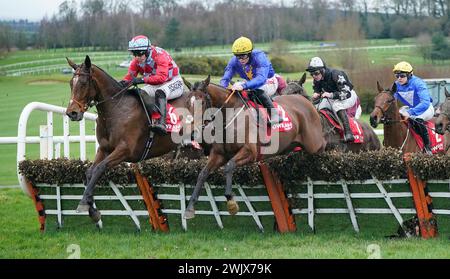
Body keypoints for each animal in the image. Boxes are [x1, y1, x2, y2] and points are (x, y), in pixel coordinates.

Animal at [65, 55, 192, 222]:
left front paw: (84, 203)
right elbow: (89, 172)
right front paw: (92, 209)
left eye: (84, 83)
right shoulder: (104, 149)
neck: (116, 109)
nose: (71, 113)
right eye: (70, 83)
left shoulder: (125, 150)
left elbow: (99, 168)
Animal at [183, 75, 326, 220]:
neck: (229, 116)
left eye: (202, 102)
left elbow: (229, 166)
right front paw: (190, 208)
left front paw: (231, 201)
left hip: (315, 144)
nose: (193, 132)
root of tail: (306, 101)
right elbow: (203, 173)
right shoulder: (219, 154)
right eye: (187, 102)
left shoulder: (250, 153)